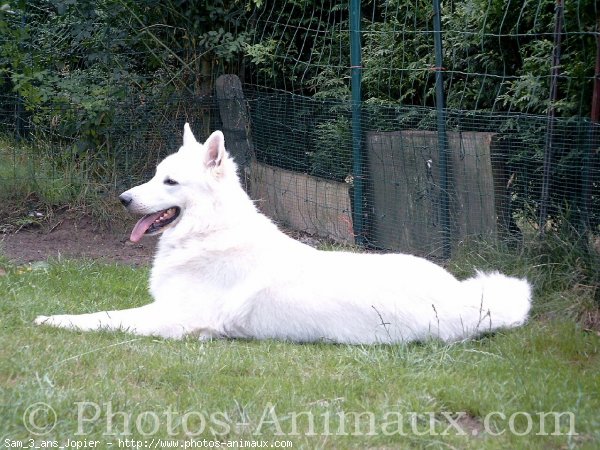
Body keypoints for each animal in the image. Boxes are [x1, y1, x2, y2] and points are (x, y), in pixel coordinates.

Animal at [34, 125, 528, 342]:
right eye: (156, 175)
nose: (123, 199)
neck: (210, 231)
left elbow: (102, 317)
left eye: (169, 182)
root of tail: (462, 300)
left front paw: (51, 318)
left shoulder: (173, 318)